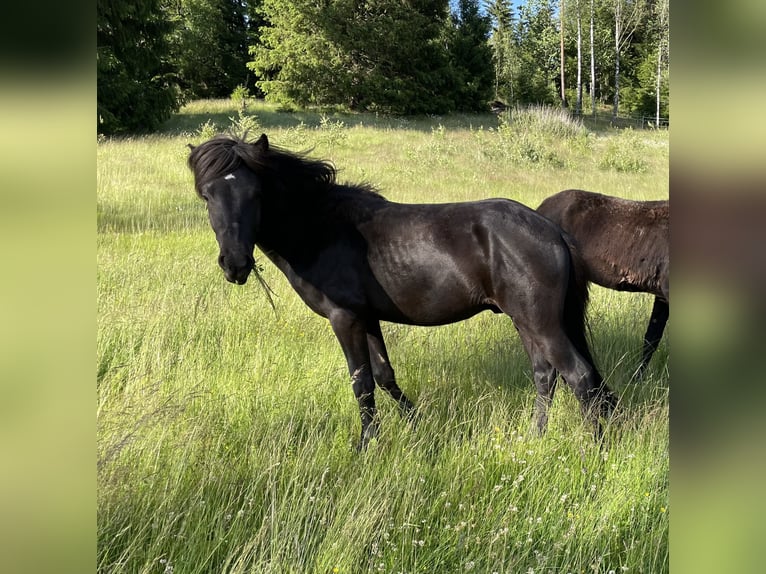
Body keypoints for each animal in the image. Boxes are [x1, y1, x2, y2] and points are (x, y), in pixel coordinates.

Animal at [187, 134, 616, 449]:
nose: (235, 264)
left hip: (540, 322)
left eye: (255, 195)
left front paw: (366, 445)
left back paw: (592, 450)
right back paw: (535, 437)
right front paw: (418, 425)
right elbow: (384, 376)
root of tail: (551, 230)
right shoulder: (367, 318)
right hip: (526, 322)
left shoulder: (345, 319)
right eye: (207, 195)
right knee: (546, 375)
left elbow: (361, 383)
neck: (321, 229)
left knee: (579, 377)